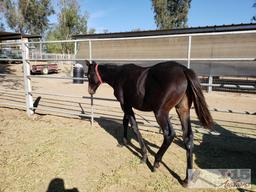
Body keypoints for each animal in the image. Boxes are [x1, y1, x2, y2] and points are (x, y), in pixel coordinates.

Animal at [85, 60, 213, 186]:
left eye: (88, 75)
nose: (90, 91)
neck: (118, 75)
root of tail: (183, 70)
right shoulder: (127, 105)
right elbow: (125, 121)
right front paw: (124, 142)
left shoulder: (125, 105)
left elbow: (134, 127)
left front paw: (143, 156)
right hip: (182, 110)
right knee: (188, 138)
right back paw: (186, 179)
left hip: (160, 112)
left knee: (169, 134)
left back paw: (156, 162)